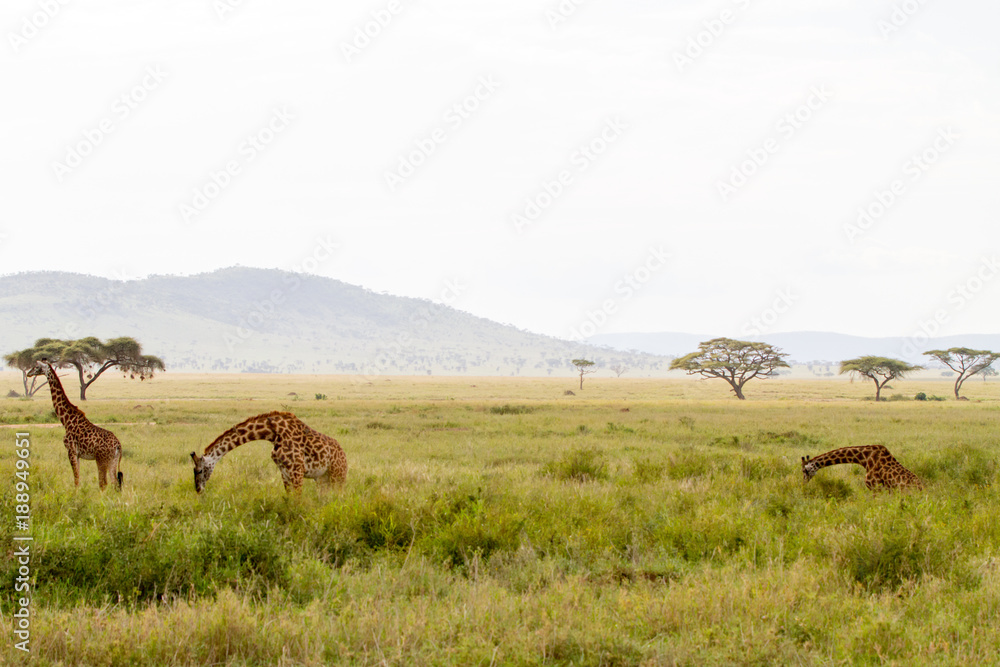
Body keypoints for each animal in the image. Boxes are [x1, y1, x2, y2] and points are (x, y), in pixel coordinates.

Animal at [27, 360, 123, 490]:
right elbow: (78, 477)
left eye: (36, 367)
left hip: (101, 459)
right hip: (113, 460)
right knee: (115, 484)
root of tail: (118, 445)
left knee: (103, 483)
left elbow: (76, 479)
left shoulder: (71, 451)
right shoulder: (77, 454)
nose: (28, 373)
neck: (66, 420)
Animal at [190, 411, 347, 494]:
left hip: (338, 476)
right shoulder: (284, 472)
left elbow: (298, 500)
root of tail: (343, 454)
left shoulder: (297, 471)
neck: (273, 433)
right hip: (322, 479)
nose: (198, 489)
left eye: (199, 470)